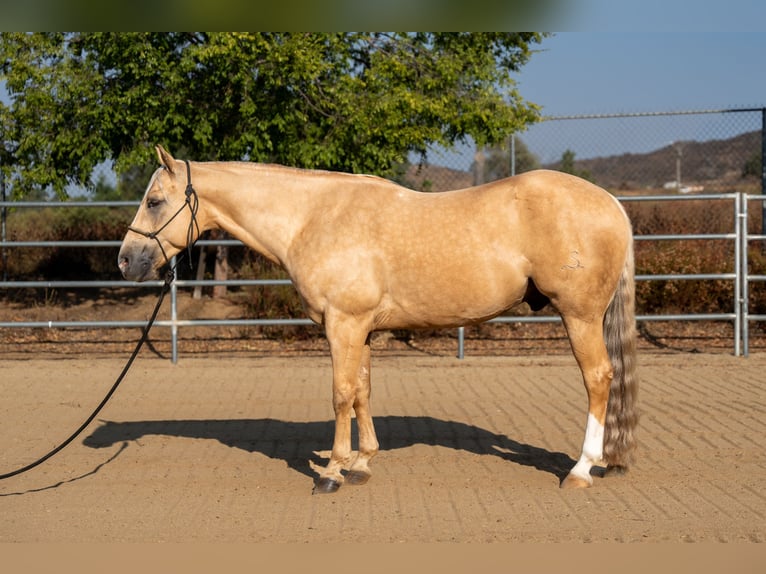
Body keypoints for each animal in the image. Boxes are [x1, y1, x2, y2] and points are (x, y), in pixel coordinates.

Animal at [120, 147, 640, 496]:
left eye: (154, 201)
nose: (126, 261)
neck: (312, 218)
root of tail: (612, 204)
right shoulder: (361, 329)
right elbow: (362, 391)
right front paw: (362, 462)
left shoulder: (342, 325)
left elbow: (340, 394)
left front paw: (331, 473)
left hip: (579, 316)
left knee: (599, 378)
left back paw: (580, 470)